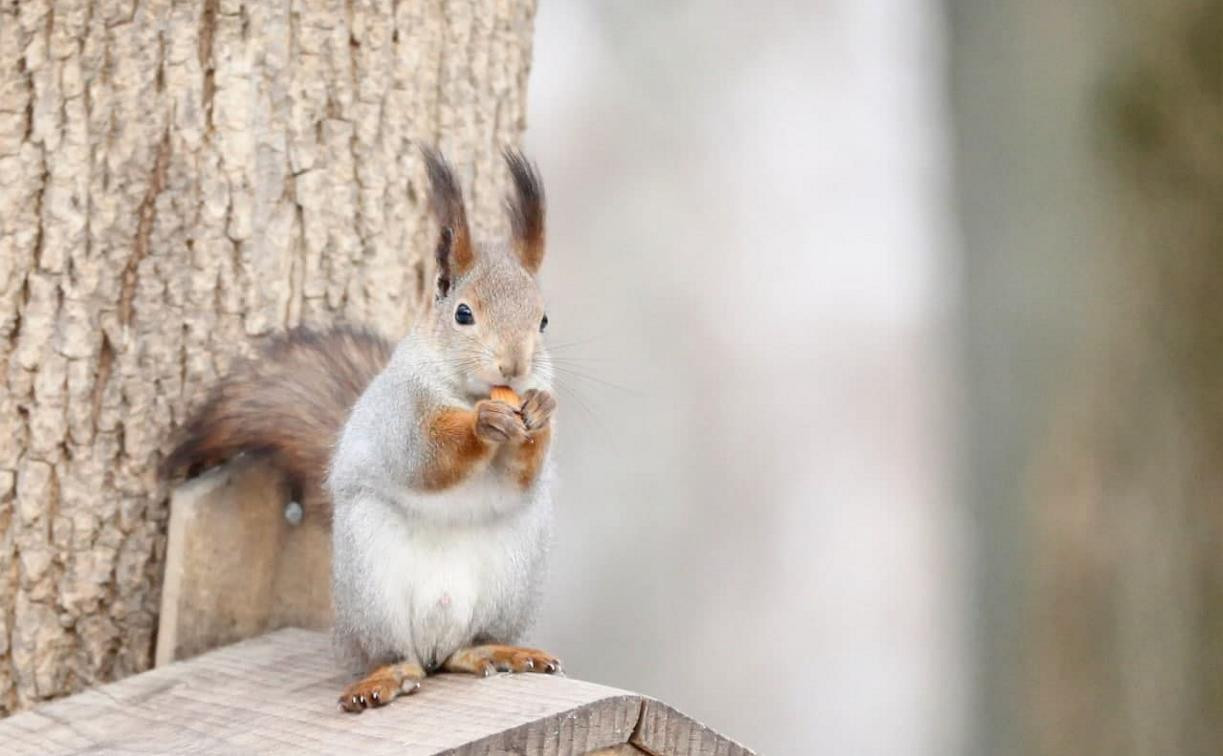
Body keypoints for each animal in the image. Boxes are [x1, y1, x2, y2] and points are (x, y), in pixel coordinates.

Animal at [163, 148, 562, 714]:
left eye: (543, 320)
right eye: (463, 314)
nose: (515, 366)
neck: (468, 392)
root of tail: (436, 641)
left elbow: (523, 475)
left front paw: (541, 410)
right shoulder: (399, 413)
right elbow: (425, 457)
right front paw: (483, 423)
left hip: (513, 575)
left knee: (463, 649)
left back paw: (497, 651)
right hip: (371, 578)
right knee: (399, 656)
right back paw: (386, 677)